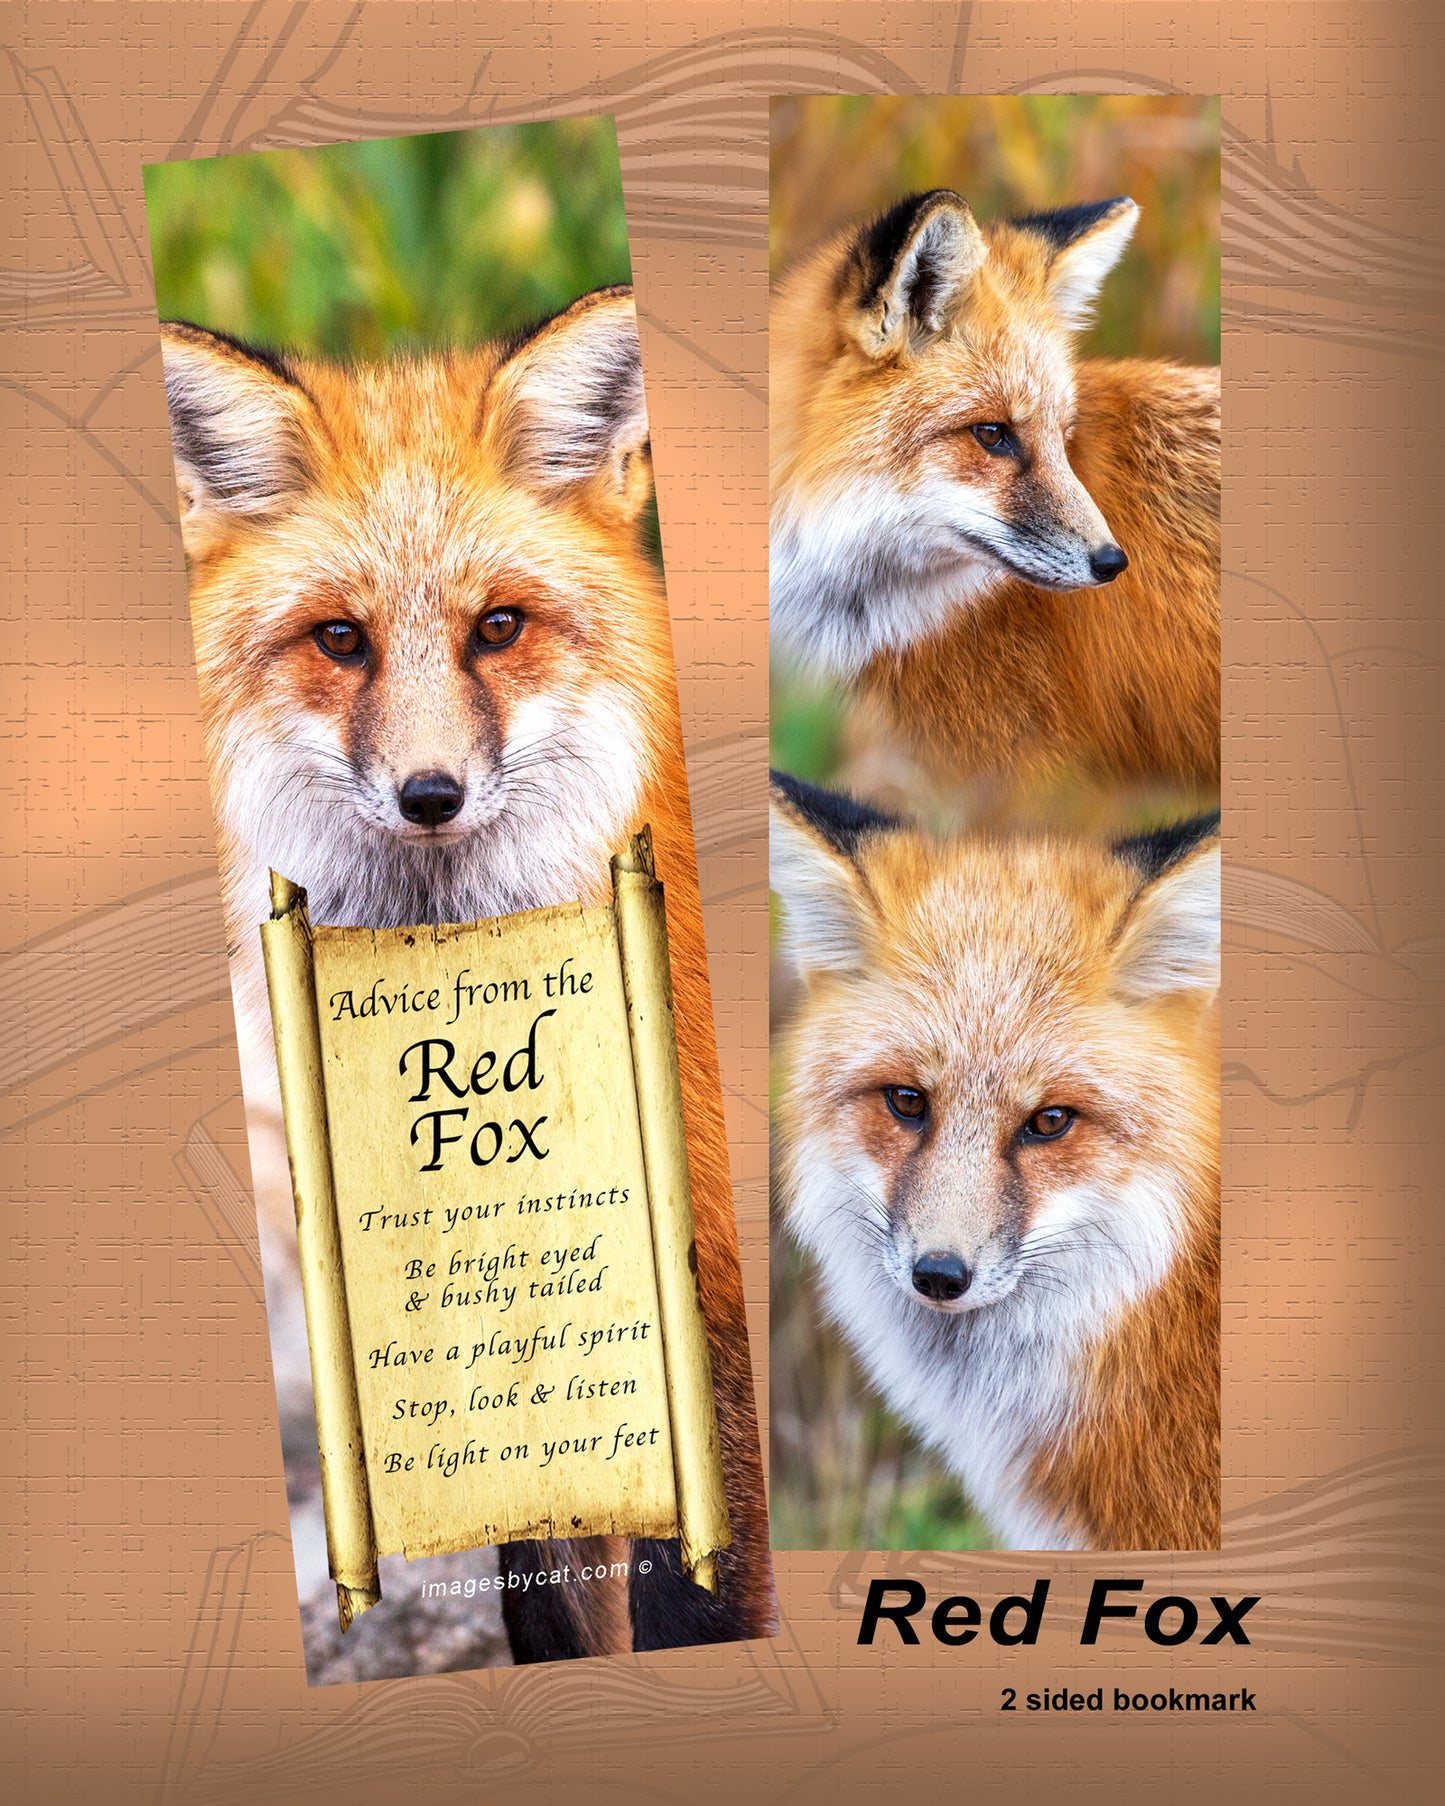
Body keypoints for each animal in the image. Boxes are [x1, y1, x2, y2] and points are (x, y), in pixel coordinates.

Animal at [158, 288, 774, 1661]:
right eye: (340, 639)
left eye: (497, 628)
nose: (428, 795)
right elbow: (547, 1589)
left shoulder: (694, 1284)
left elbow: (692, 1595)